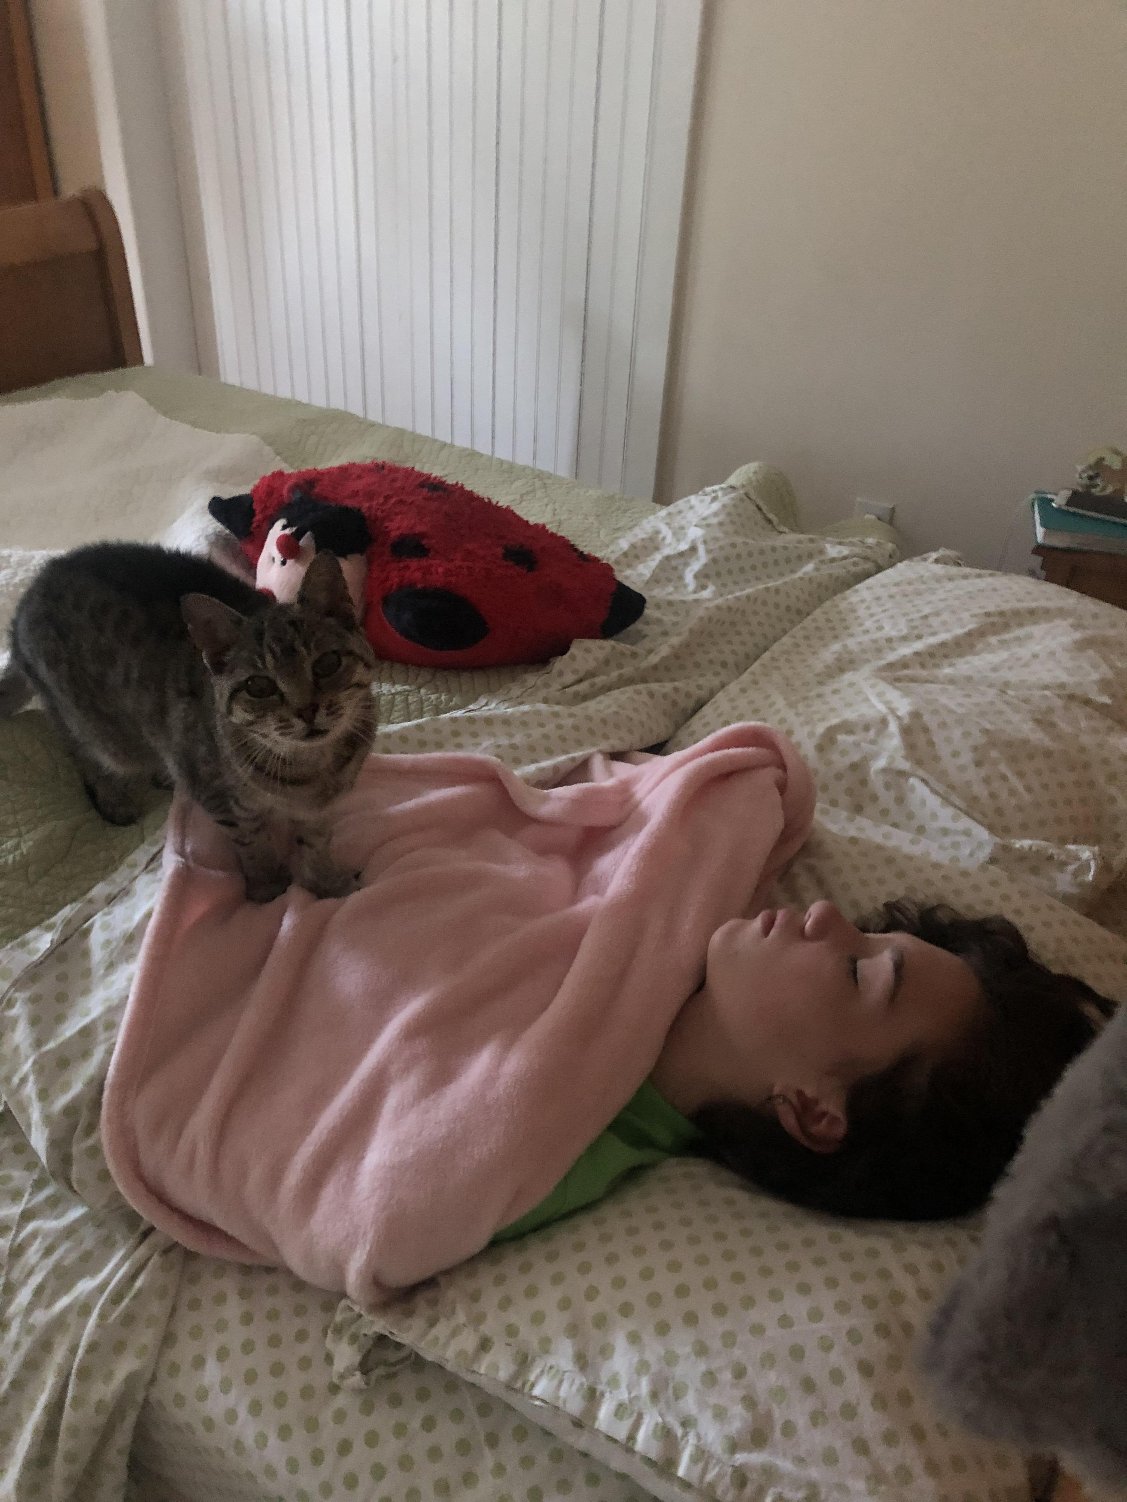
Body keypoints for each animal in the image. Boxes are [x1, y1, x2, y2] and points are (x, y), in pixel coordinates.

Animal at [0, 541, 377, 902]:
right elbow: (253, 845)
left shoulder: (323, 808)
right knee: (82, 752)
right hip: (102, 734)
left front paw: (327, 884)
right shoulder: (221, 800)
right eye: (259, 686)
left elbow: (315, 844)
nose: (307, 710)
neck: (311, 770)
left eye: (327, 663)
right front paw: (268, 886)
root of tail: (22, 610)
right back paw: (113, 799)